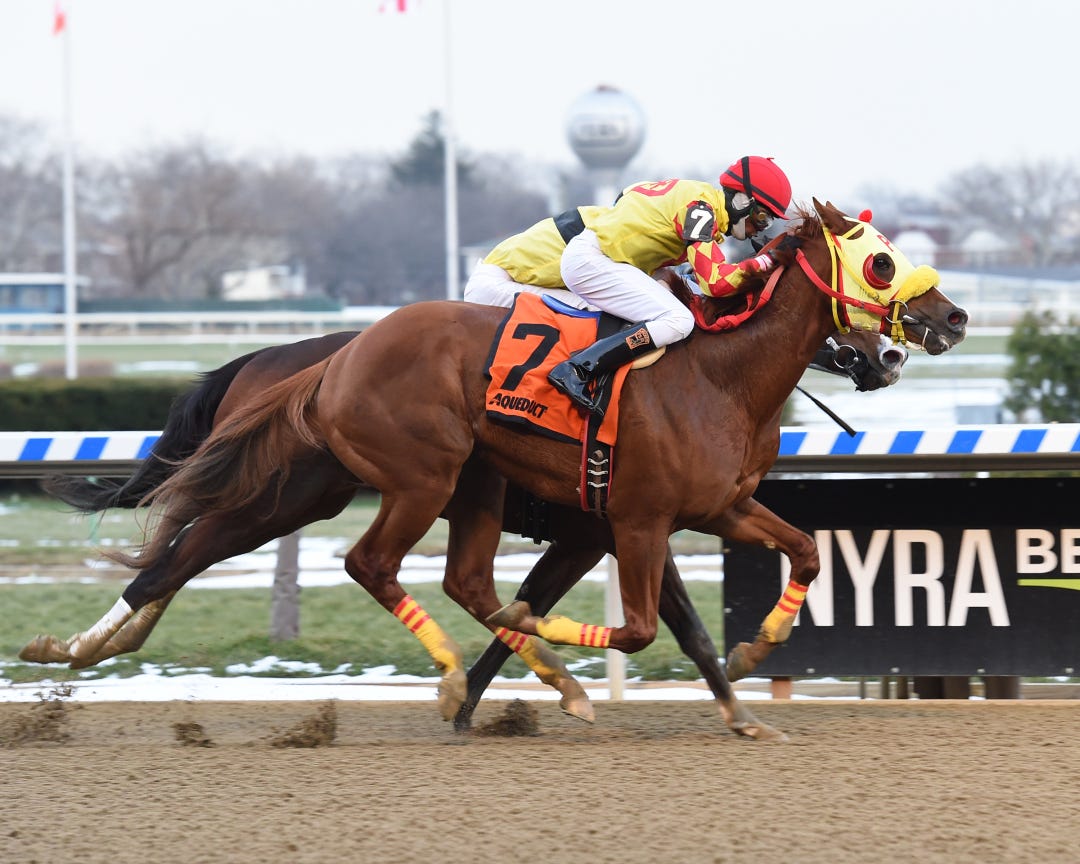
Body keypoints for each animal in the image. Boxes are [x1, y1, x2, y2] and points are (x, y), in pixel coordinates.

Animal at [49, 200, 963, 725]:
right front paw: (519, 685)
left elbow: (783, 566)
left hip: (388, 488)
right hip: (393, 480)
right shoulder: (628, 521)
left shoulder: (699, 510)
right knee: (330, 560)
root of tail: (328, 361)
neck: (719, 373)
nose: (947, 320)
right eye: (881, 259)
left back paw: (89, 645)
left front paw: (746, 683)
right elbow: (633, 625)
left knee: (206, 552)